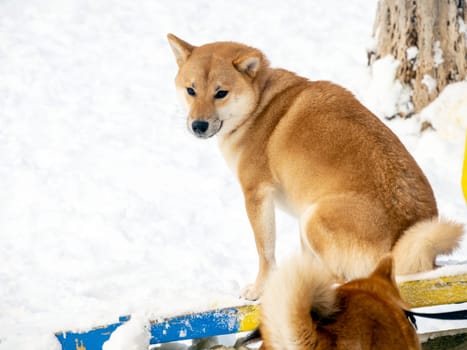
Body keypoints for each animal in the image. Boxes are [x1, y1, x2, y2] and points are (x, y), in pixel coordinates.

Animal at [167, 34, 464, 300]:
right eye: (191, 90)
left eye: (221, 93)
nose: (198, 125)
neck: (260, 105)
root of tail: (401, 242)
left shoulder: (256, 194)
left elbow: (265, 251)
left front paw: (259, 290)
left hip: (314, 217)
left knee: (339, 277)